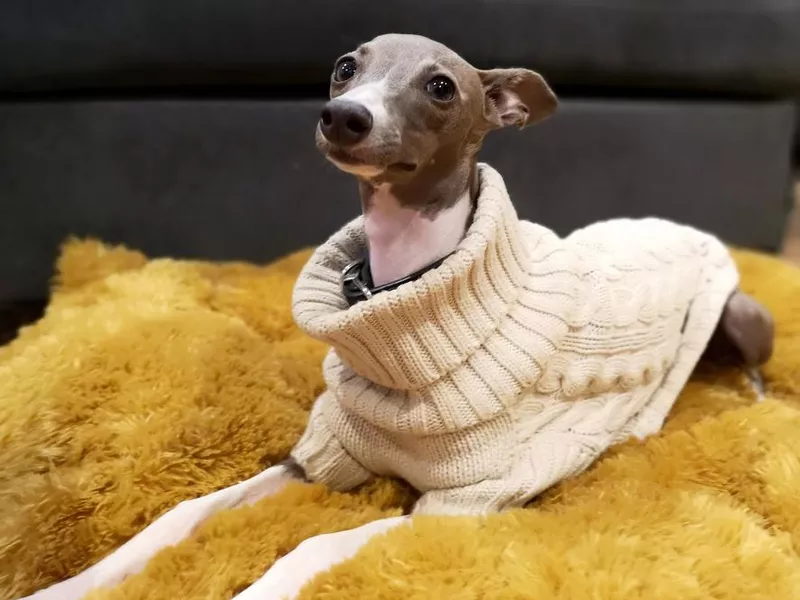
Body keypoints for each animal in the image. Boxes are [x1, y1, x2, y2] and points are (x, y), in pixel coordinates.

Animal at [26, 34, 776, 600]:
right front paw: (69, 585)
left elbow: (312, 544)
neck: (406, 290)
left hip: (742, 315)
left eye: (441, 86)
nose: (342, 116)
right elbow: (184, 510)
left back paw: (747, 394)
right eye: (345, 66)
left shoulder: (459, 507)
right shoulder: (318, 457)